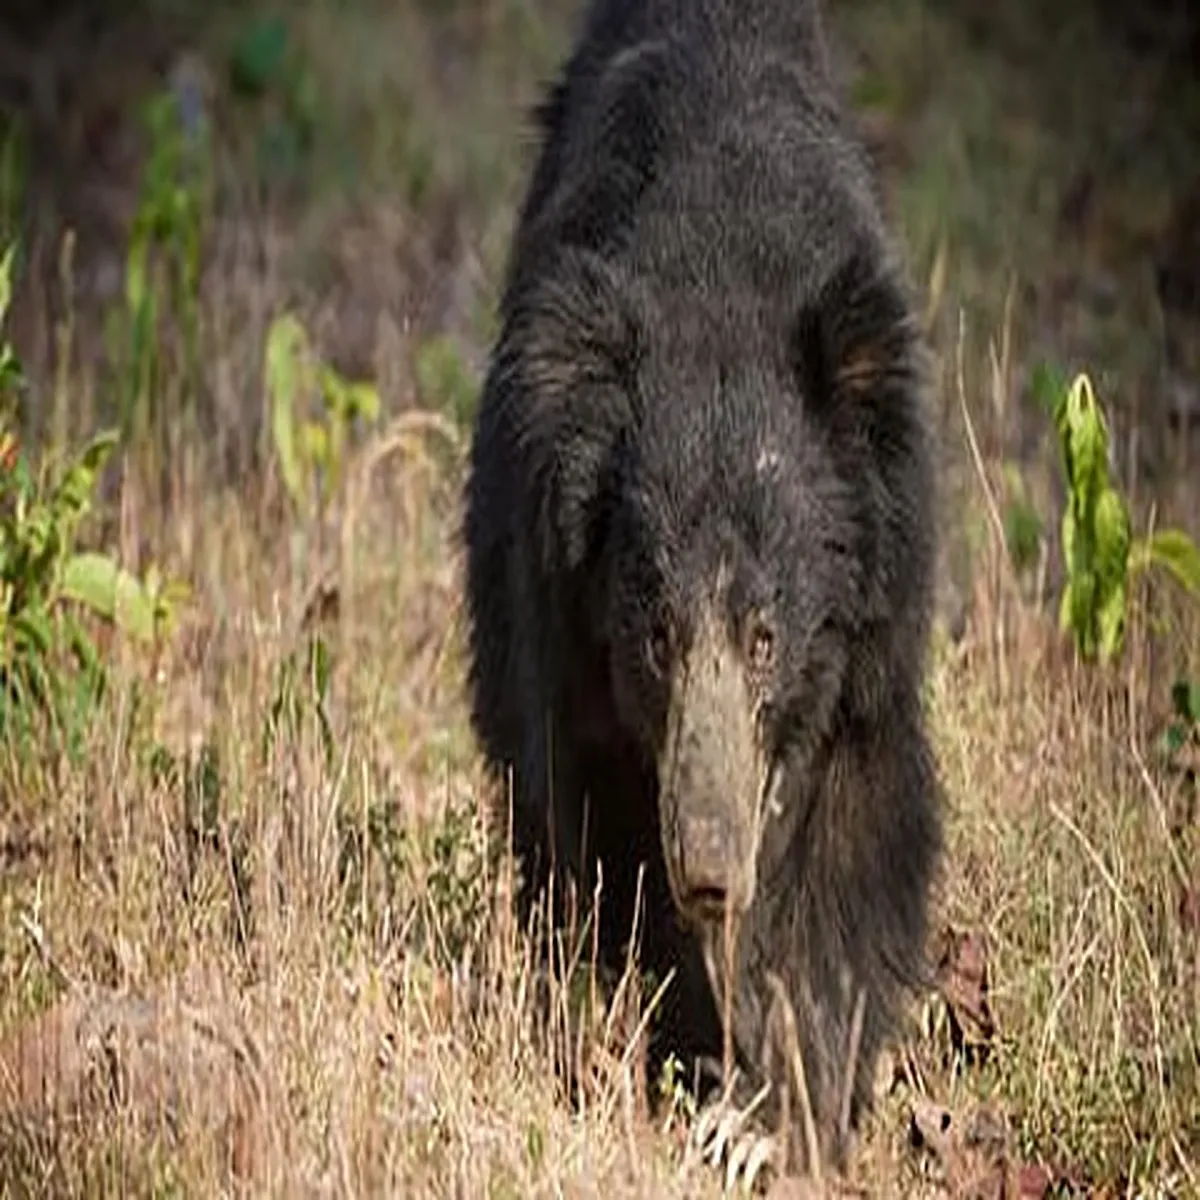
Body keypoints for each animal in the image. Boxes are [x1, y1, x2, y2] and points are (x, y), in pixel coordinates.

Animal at [461, 0, 943, 1185]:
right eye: (656, 636)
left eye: (769, 638)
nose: (716, 871)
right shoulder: (563, 620)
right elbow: (596, 820)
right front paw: (685, 1056)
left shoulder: (877, 620)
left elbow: (858, 834)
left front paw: (767, 1125)